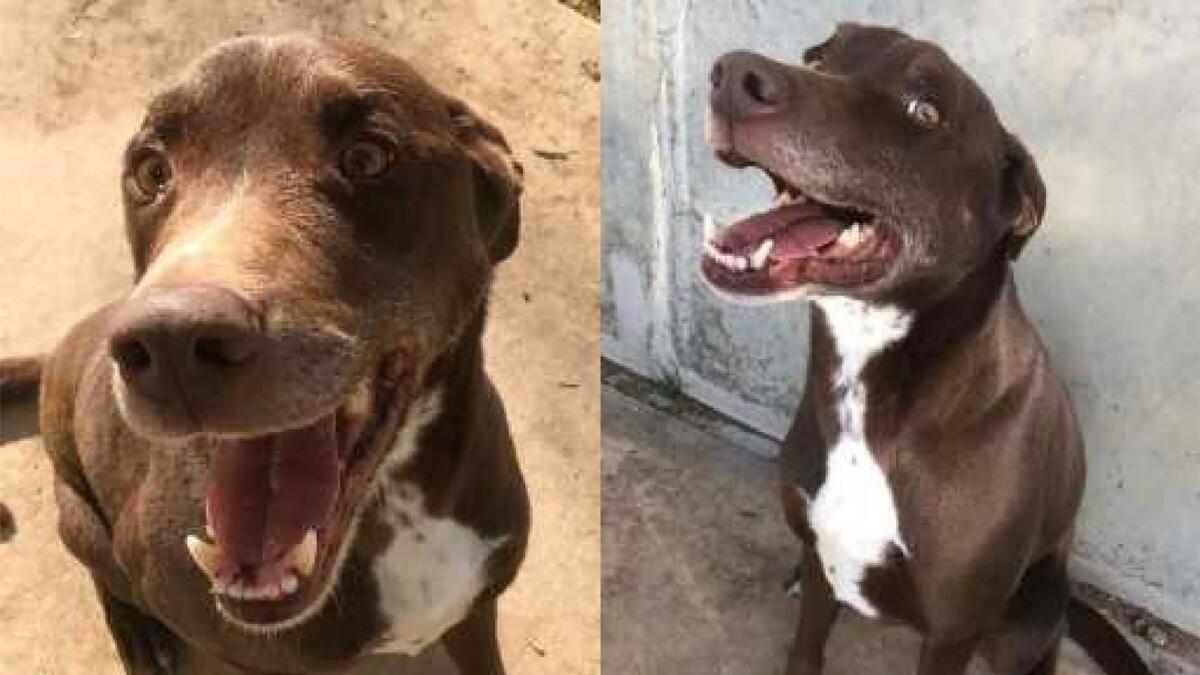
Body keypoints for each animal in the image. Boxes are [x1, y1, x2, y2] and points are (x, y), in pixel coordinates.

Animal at [1, 35, 525, 672]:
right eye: (151, 171)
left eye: (367, 158)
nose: (170, 341)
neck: (401, 506)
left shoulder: (478, 609)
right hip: (79, 520)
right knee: (105, 574)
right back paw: (138, 635)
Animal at [700, 23, 1152, 672]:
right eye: (819, 57)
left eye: (925, 111)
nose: (733, 76)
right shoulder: (821, 551)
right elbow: (806, 644)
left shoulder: (953, 629)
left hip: (1029, 612)